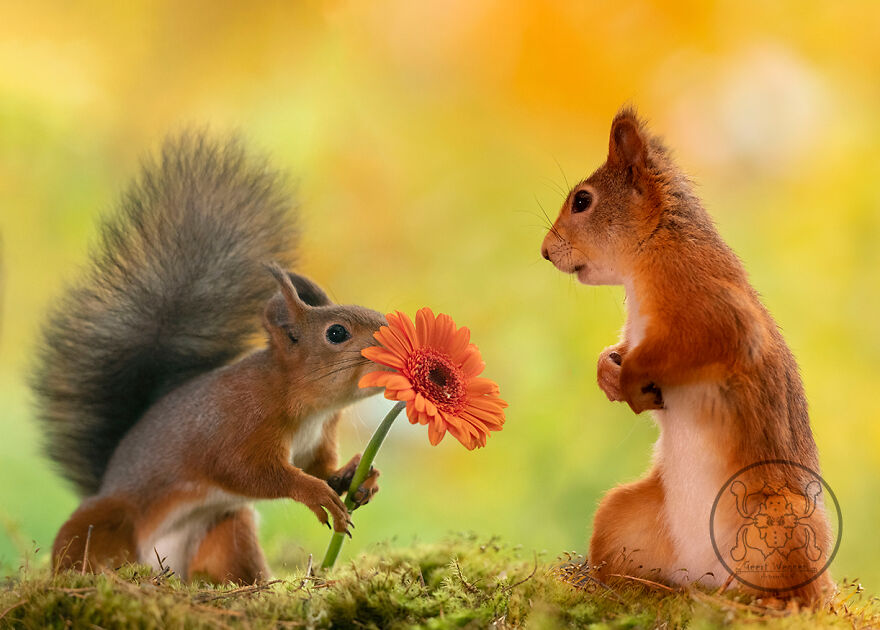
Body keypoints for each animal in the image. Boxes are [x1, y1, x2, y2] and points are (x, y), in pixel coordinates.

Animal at [33, 133, 388, 584]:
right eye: (337, 333)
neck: (308, 405)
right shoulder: (235, 426)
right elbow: (248, 472)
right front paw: (314, 493)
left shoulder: (317, 441)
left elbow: (321, 468)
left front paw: (361, 475)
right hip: (109, 520)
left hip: (225, 528)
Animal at [541, 107, 834, 602]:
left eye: (582, 201)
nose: (544, 252)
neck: (648, 254)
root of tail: (707, 578)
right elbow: (618, 351)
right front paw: (607, 373)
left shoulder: (709, 306)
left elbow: (688, 346)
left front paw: (631, 383)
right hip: (622, 515)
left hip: (785, 524)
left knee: (798, 591)